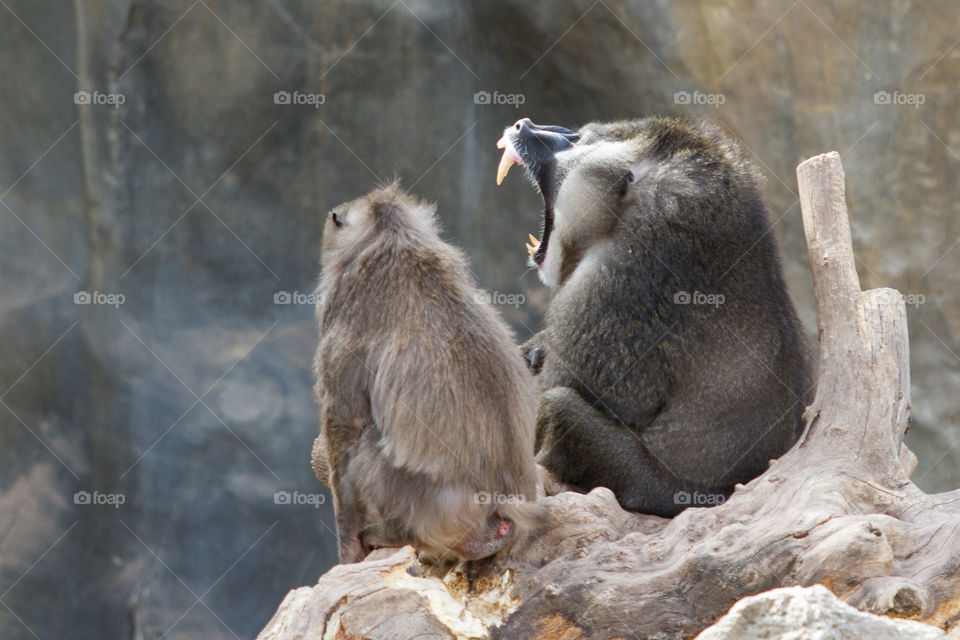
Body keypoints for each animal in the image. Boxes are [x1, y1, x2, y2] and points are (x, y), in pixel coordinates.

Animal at [313, 182, 545, 564]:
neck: (392, 235)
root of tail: (500, 502)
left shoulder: (344, 306)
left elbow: (344, 423)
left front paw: (347, 547)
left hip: (430, 509)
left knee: (366, 447)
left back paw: (393, 534)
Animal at [495, 116, 813, 518]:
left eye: (579, 141)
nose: (525, 125)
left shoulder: (617, 282)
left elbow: (553, 391)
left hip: (646, 483)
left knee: (558, 406)